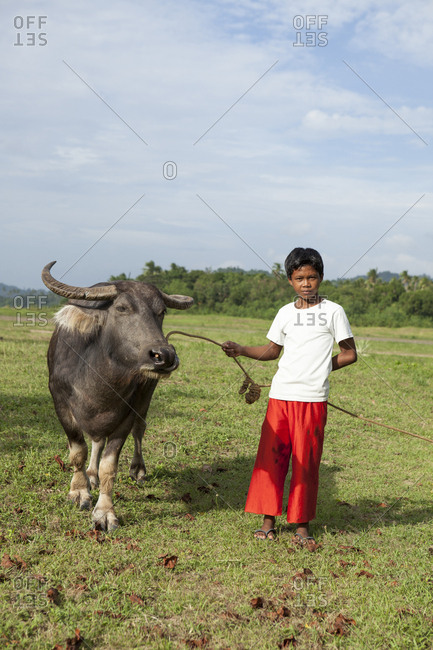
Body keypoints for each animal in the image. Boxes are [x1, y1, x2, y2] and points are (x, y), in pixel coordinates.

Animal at [42, 261, 193, 531]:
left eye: (162, 311)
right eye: (122, 308)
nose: (164, 355)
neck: (97, 376)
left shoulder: (127, 412)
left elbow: (109, 466)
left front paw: (104, 512)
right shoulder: (60, 403)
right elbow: (78, 450)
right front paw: (79, 491)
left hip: (146, 398)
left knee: (139, 430)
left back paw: (137, 469)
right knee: (96, 441)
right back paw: (90, 475)